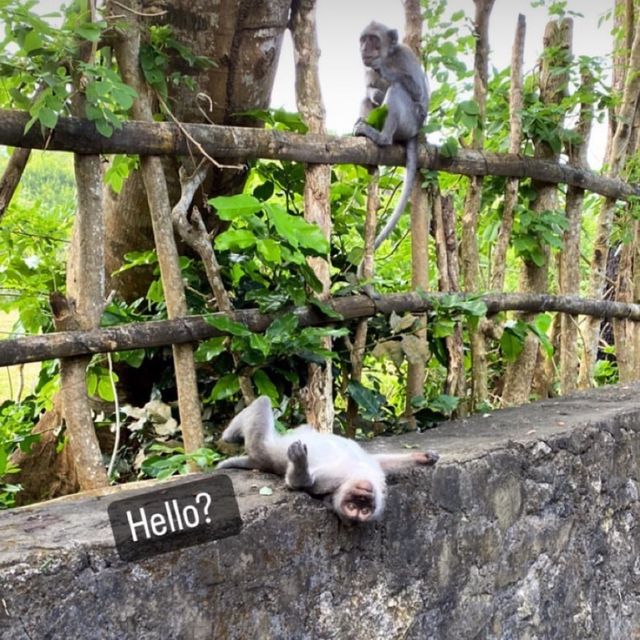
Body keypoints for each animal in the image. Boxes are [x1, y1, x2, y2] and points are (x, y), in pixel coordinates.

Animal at [218, 396, 438, 524]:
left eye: (362, 509)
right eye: (355, 504)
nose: (363, 493)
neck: (359, 475)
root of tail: (257, 462)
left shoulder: (331, 481)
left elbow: (300, 483)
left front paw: (301, 468)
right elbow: (382, 462)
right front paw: (423, 457)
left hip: (261, 448)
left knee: (261, 406)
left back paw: (228, 437)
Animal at [350, 19, 430, 252]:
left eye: (373, 39)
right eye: (364, 39)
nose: (365, 48)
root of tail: (415, 133)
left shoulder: (405, 56)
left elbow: (417, 92)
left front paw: (382, 67)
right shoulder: (367, 70)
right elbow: (369, 91)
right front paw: (373, 91)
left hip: (409, 123)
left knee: (397, 89)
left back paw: (381, 137)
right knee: (369, 101)